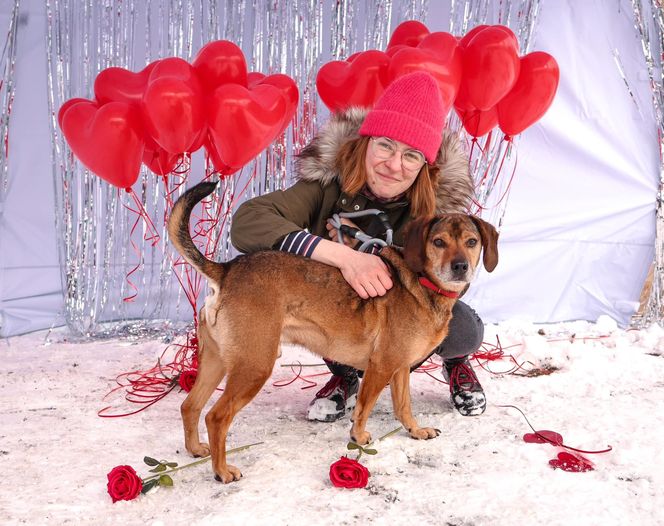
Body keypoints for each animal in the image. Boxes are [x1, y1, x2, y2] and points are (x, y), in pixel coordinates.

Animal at [167, 183, 498, 486]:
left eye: (471, 242)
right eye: (439, 242)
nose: (460, 267)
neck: (423, 285)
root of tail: (226, 270)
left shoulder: (400, 368)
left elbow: (404, 406)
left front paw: (415, 431)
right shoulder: (381, 367)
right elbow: (364, 407)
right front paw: (359, 436)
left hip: (216, 362)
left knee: (190, 406)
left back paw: (196, 449)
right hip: (254, 366)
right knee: (216, 417)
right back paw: (222, 470)